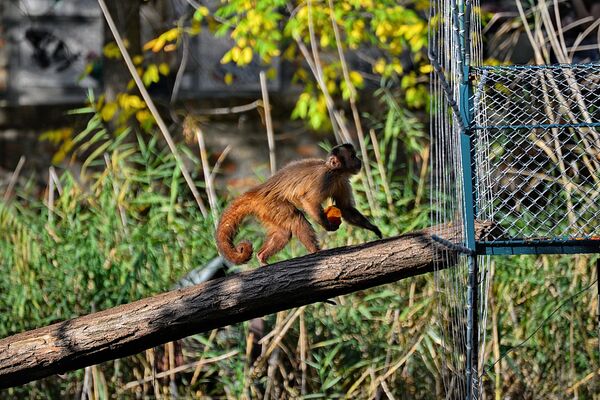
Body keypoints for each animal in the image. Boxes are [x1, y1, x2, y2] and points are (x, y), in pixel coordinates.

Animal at [216, 144, 382, 266]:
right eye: (353, 156)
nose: (359, 161)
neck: (335, 171)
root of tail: (258, 191)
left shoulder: (342, 180)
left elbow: (345, 208)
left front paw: (374, 229)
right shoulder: (325, 178)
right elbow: (308, 200)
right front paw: (328, 226)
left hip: (267, 210)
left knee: (283, 232)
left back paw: (262, 257)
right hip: (272, 204)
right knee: (296, 219)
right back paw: (315, 251)